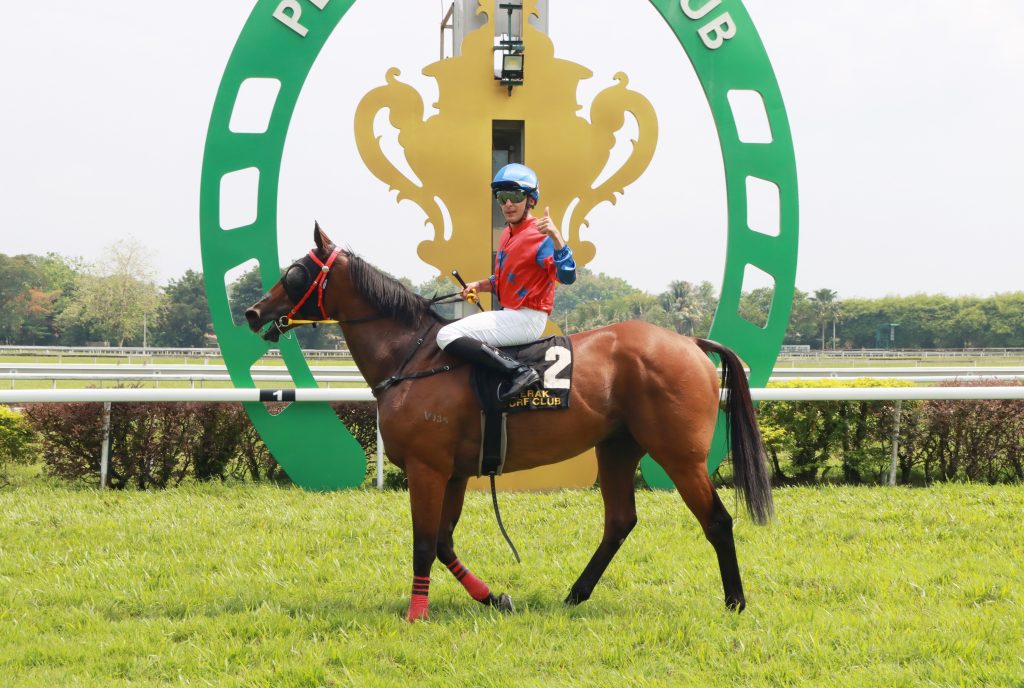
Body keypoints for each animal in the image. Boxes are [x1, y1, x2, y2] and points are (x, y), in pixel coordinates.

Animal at [243, 223, 770, 622]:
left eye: (295, 273)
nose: (252, 311)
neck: (416, 356)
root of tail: (690, 342)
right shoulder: (453, 471)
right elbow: (443, 543)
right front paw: (494, 597)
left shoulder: (427, 468)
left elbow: (423, 542)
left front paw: (417, 613)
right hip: (618, 447)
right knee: (619, 521)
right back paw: (575, 594)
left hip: (680, 455)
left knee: (717, 520)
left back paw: (735, 601)